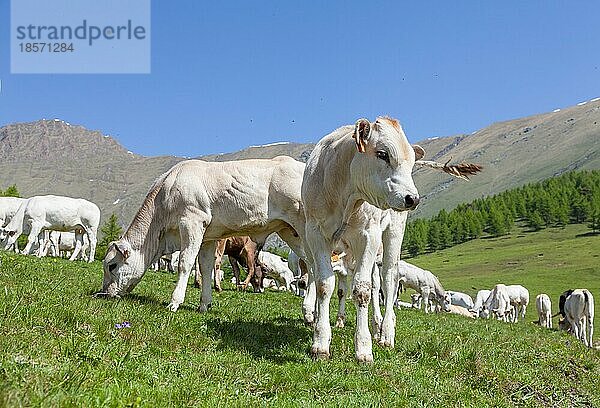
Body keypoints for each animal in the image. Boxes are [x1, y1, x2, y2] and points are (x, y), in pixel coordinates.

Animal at [99, 156, 308, 312]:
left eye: (111, 265)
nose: (104, 293)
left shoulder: (192, 222)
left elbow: (185, 263)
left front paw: (174, 302)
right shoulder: (209, 236)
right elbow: (206, 267)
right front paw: (204, 304)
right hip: (290, 232)